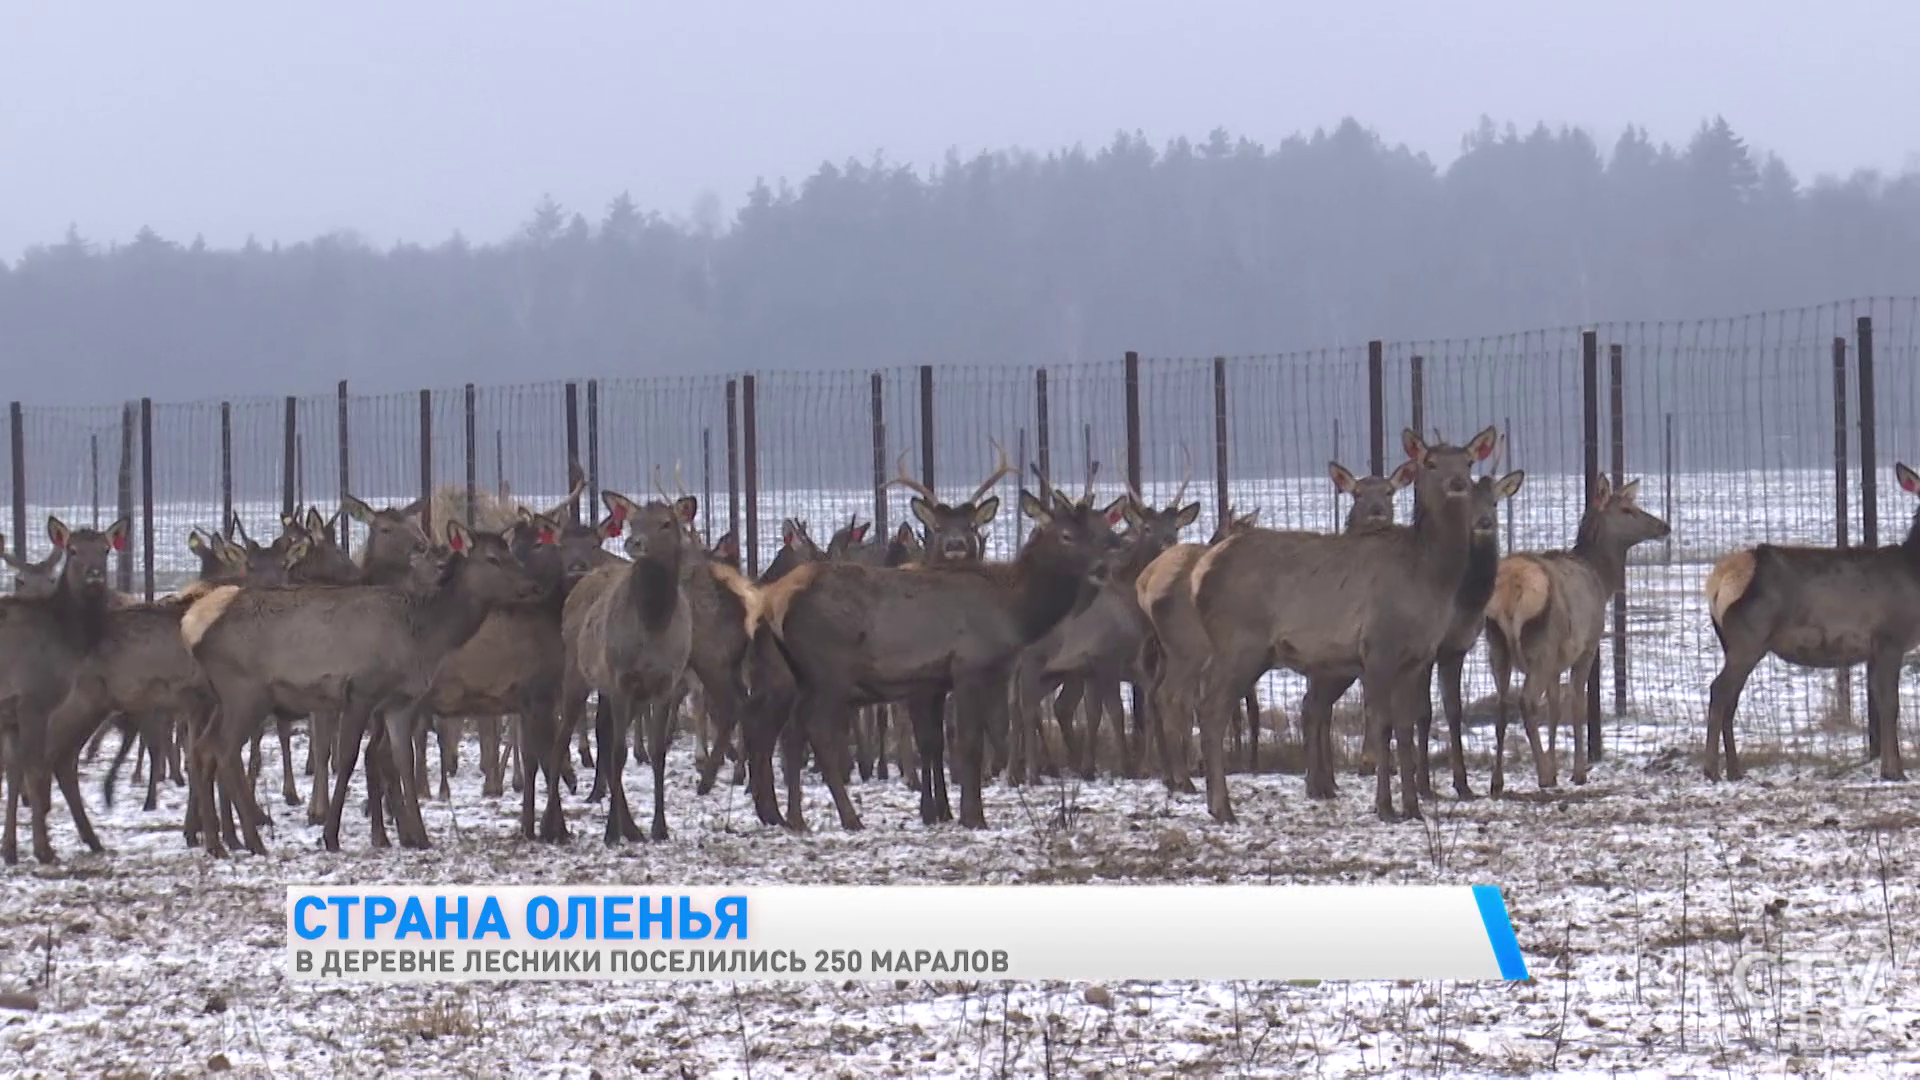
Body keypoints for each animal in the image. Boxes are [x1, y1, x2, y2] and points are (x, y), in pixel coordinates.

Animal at [180, 518, 545, 853]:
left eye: (510, 553)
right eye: (492, 559)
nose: (532, 585)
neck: (423, 638)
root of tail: (197, 639)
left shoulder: (400, 702)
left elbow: (402, 759)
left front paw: (421, 837)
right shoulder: (361, 691)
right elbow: (347, 758)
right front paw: (330, 835)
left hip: (224, 698)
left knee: (203, 746)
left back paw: (217, 841)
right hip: (246, 693)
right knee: (225, 750)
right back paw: (252, 841)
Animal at [560, 478, 702, 841]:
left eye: (665, 523)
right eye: (633, 522)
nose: (634, 543)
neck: (652, 627)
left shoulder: (665, 683)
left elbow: (657, 753)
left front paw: (659, 828)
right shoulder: (620, 679)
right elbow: (620, 754)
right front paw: (612, 831)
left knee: (605, 733)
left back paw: (633, 827)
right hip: (578, 674)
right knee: (568, 734)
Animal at [1190, 424, 1489, 818]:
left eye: (1468, 462)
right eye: (1431, 462)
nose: (1458, 483)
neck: (1428, 579)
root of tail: (1202, 573)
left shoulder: (1417, 657)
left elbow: (1406, 728)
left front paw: (1412, 806)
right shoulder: (1378, 646)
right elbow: (1381, 725)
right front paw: (1385, 807)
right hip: (1241, 641)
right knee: (1212, 710)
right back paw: (1223, 807)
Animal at [1482, 470, 1666, 791]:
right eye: (1627, 509)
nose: (1664, 526)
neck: (1602, 580)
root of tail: (1513, 587)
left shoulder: (1557, 661)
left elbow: (1555, 708)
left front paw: (1557, 767)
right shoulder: (1588, 645)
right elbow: (1578, 704)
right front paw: (1577, 772)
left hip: (1497, 645)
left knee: (1502, 705)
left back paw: (1497, 781)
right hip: (1540, 645)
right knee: (1527, 701)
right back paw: (1542, 775)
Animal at [1704, 457, 1912, 776]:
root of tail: (1717, 580)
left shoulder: (1876, 648)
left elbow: (1879, 702)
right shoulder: (1890, 636)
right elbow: (1890, 704)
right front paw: (1894, 772)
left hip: (1732, 642)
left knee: (1732, 697)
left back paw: (1735, 771)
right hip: (1749, 637)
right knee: (1719, 690)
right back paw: (1711, 770)